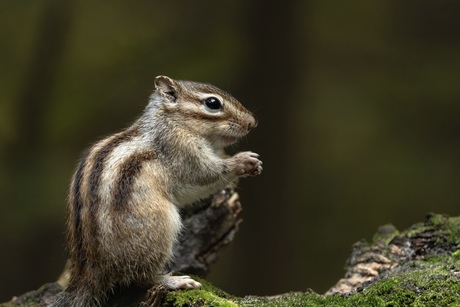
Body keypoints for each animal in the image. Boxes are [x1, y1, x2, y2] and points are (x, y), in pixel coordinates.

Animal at [50, 76, 262, 307]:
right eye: (213, 103)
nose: (252, 123)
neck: (171, 123)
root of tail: (89, 273)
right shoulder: (182, 152)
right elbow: (205, 175)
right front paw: (241, 162)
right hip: (159, 227)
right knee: (141, 277)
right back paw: (174, 281)